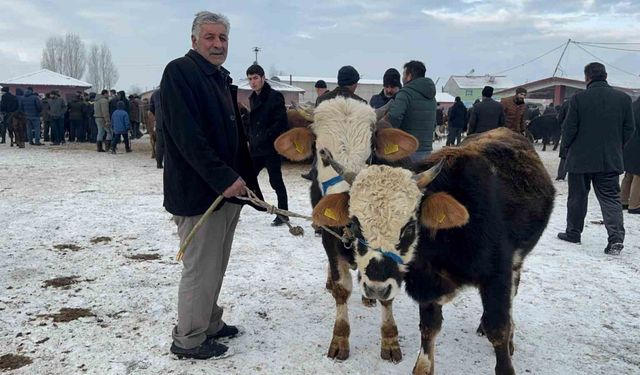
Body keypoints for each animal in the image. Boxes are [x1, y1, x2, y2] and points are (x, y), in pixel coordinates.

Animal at [276, 97, 420, 364]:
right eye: (322, 153)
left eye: (370, 152)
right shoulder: (330, 238)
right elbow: (341, 288)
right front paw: (340, 340)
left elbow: (387, 292)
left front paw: (390, 340)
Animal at [314, 129, 556, 374]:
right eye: (355, 224)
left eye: (410, 226)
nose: (376, 289)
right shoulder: (428, 283)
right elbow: (429, 328)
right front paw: (423, 366)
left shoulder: (497, 276)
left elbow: (498, 329)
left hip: (516, 264)